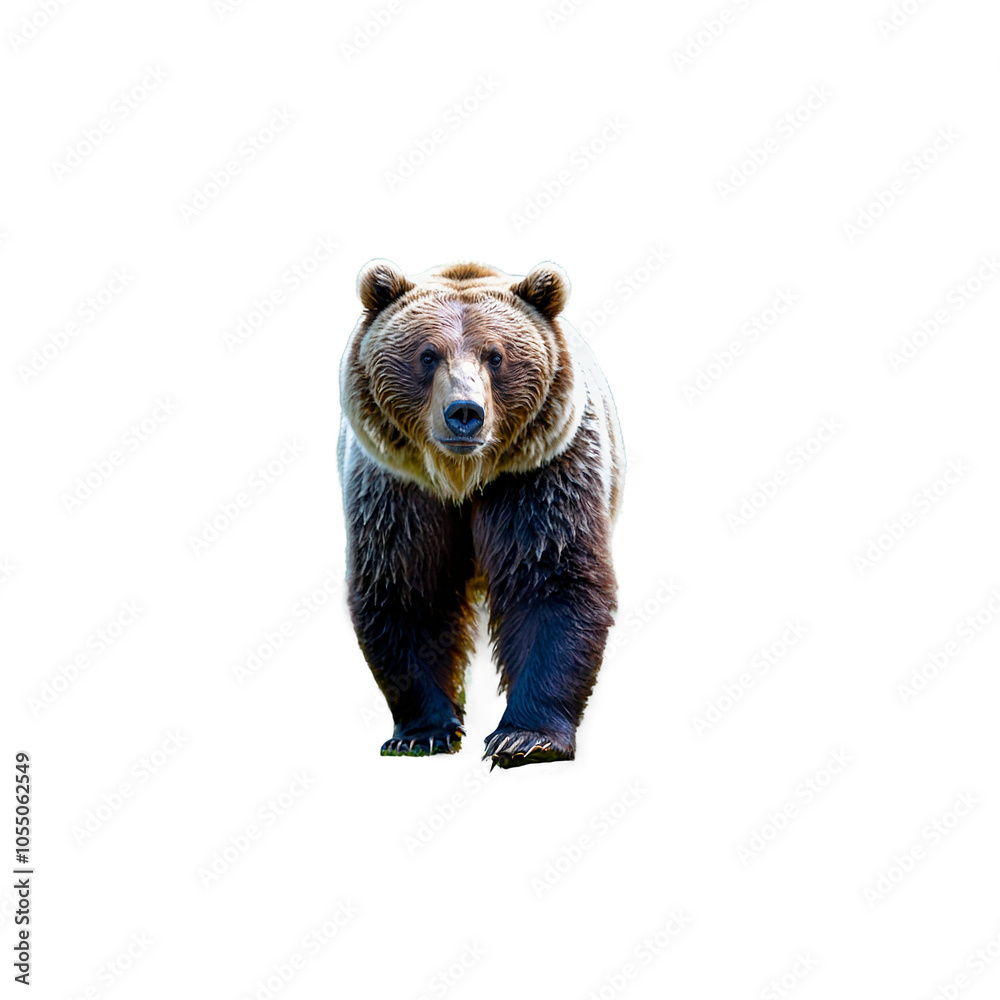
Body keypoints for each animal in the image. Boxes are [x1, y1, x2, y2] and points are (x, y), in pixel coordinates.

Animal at [338, 259, 623, 768]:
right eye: (427, 355)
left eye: (496, 355)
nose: (464, 413)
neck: (462, 477)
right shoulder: (399, 491)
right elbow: (409, 587)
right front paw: (421, 734)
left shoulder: (539, 479)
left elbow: (550, 580)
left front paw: (525, 738)